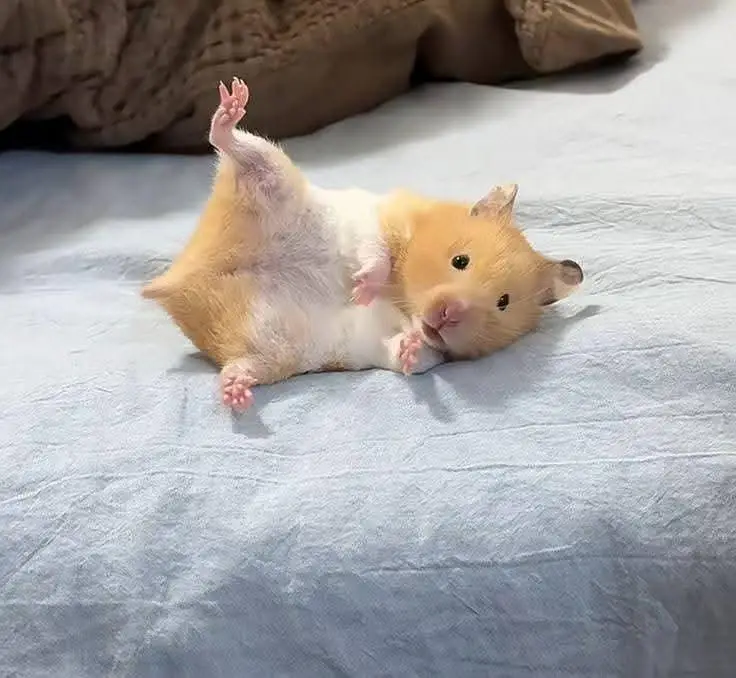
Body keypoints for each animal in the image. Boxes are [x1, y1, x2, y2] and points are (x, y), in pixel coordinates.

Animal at [142, 78, 583, 412]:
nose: (447, 315)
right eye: (460, 260)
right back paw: (232, 103)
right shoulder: (383, 216)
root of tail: (183, 277)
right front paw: (363, 287)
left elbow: (412, 357)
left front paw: (408, 344)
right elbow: (377, 252)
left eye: (503, 303)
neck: (404, 297)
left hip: (272, 349)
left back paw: (235, 393)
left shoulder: (406, 345)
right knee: (228, 141)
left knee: (239, 365)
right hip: (270, 176)